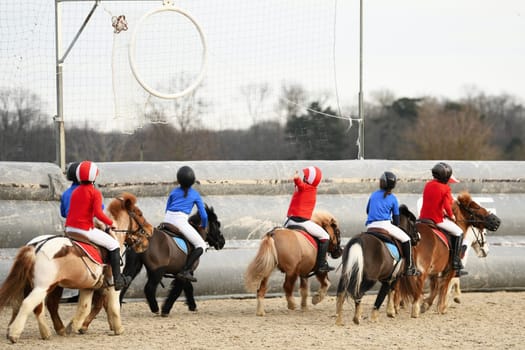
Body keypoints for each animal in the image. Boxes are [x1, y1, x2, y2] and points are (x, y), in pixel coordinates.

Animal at [0, 193, 152, 344]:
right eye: (139, 214)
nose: (150, 230)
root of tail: (35, 246)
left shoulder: (89, 286)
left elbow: (84, 307)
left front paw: (74, 326)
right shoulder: (113, 283)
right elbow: (113, 306)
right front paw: (118, 328)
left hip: (36, 285)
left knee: (27, 305)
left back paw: (43, 332)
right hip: (43, 286)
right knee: (29, 304)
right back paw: (15, 333)